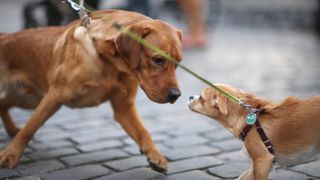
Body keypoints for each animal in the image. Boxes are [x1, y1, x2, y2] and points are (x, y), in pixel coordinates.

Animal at [0, 9, 182, 172]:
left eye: (178, 63)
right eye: (158, 59)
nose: (176, 95)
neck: (110, 63)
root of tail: (5, 36)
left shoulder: (124, 107)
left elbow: (143, 132)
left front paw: (155, 155)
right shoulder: (55, 95)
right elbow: (30, 127)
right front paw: (10, 154)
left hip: (29, 99)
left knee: (4, 103)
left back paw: (11, 129)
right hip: (35, 99)